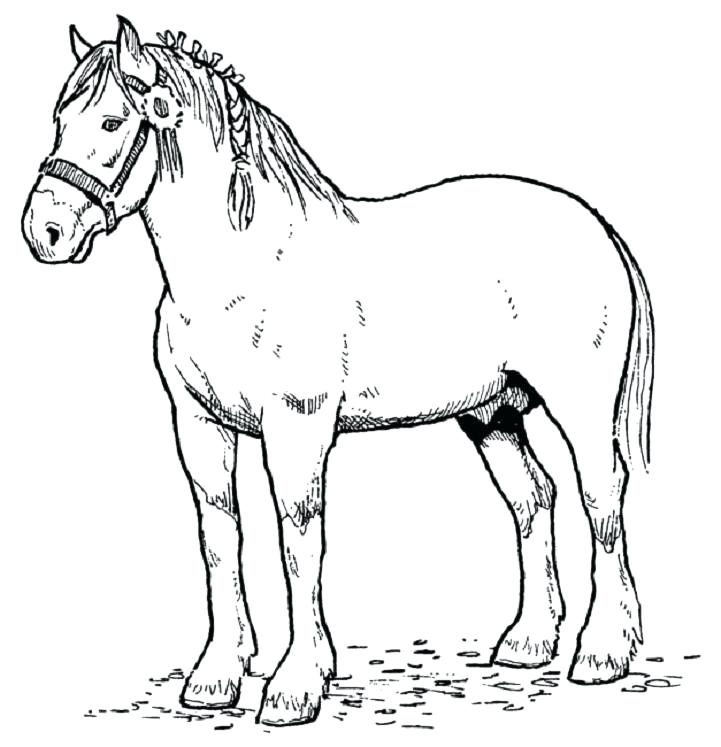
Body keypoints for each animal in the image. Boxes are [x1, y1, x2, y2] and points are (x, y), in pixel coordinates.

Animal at [21, 17, 654, 726]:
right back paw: (528, 642)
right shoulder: (199, 426)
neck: (244, 268)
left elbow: (299, 542)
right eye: (59, 118)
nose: (44, 230)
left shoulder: (296, 427)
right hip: (490, 414)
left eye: (111, 122)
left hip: (582, 408)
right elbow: (220, 538)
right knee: (533, 497)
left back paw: (603, 652)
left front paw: (296, 684)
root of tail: (596, 227)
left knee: (602, 497)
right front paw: (217, 676)